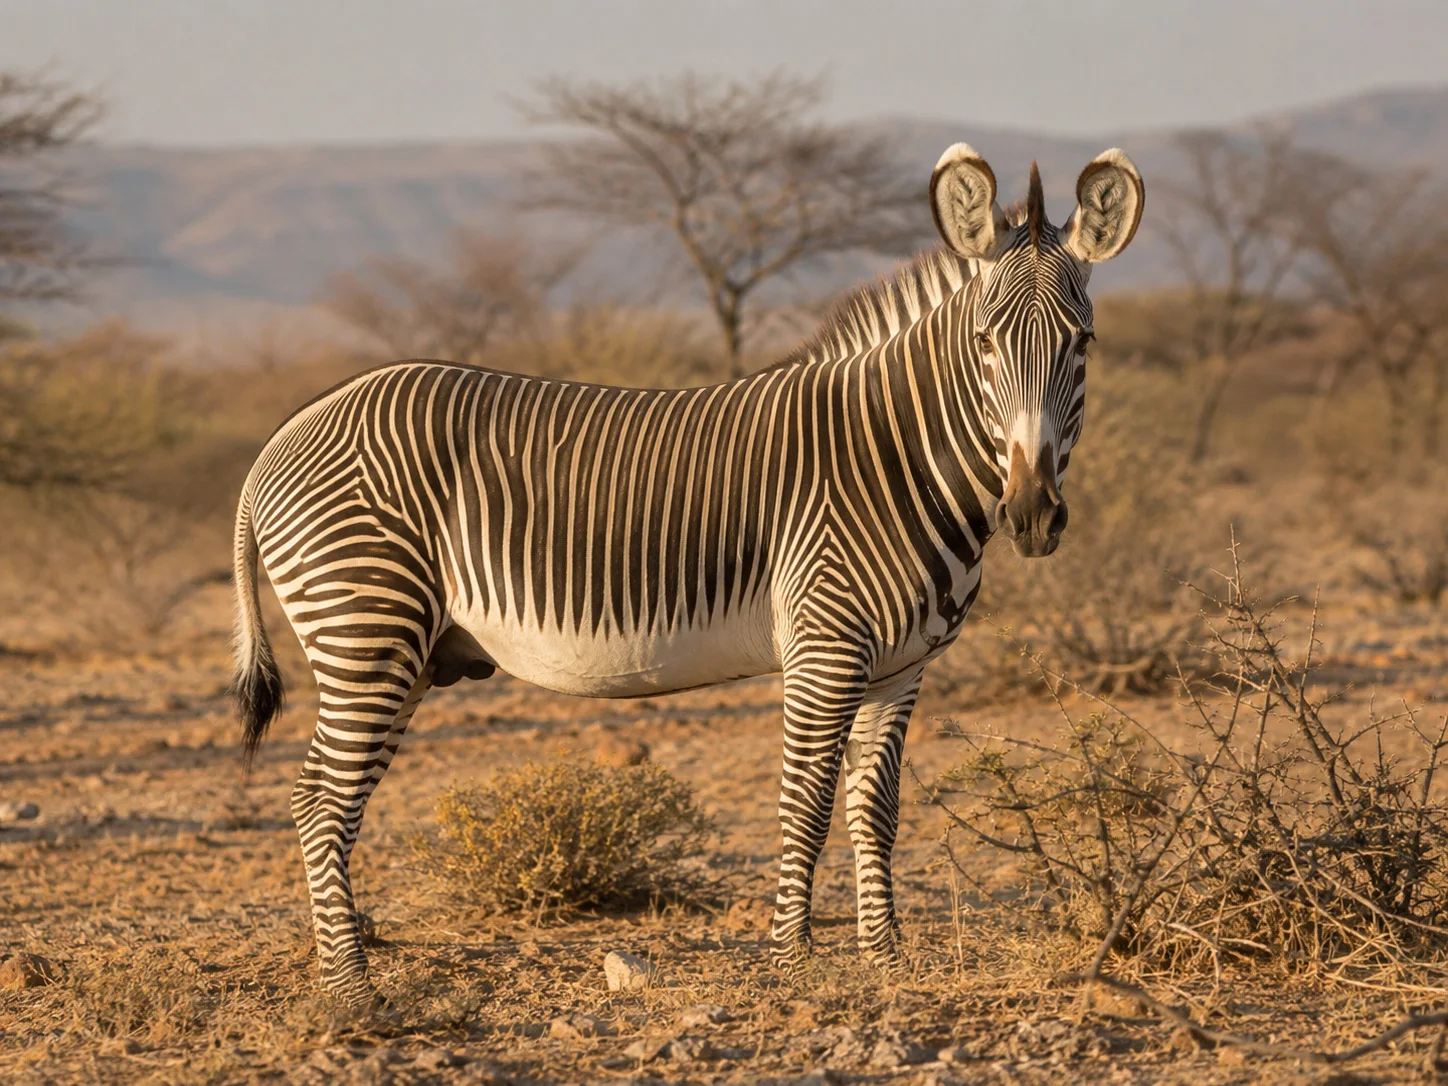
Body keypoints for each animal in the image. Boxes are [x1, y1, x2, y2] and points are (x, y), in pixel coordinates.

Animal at [231, 144, 1143, 1005]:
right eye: (985, 344)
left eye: (1084, 343)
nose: (1032, 513)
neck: (900, 458)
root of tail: (285, 435)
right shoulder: (825, 649)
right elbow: (806, 801)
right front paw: (793, 963)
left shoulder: (901, 667)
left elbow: (874, 810)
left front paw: (884, 961)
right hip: (367, 631)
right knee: (320, 801)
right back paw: (352, 989)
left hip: (406, 651)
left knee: (327, 800)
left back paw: (344, 971)